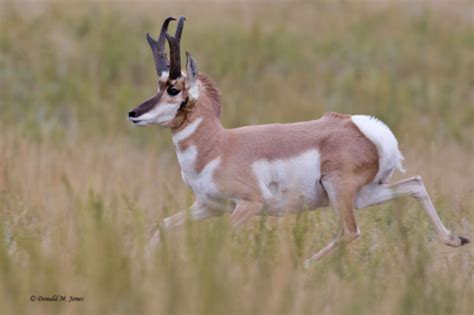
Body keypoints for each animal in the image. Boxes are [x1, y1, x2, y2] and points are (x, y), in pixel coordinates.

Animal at [130, 16, 470, 266]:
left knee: (350, 231)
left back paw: (303, 266)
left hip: (339, 191)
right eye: (158, 84)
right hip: (365, 194)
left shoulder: (249, 204)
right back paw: (456, 239)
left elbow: (222, 240)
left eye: (174, 88)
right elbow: (158, 226)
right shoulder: (208, 207)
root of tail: (362, 128)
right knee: (415, 184)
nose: (133, 113)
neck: (219, 145)